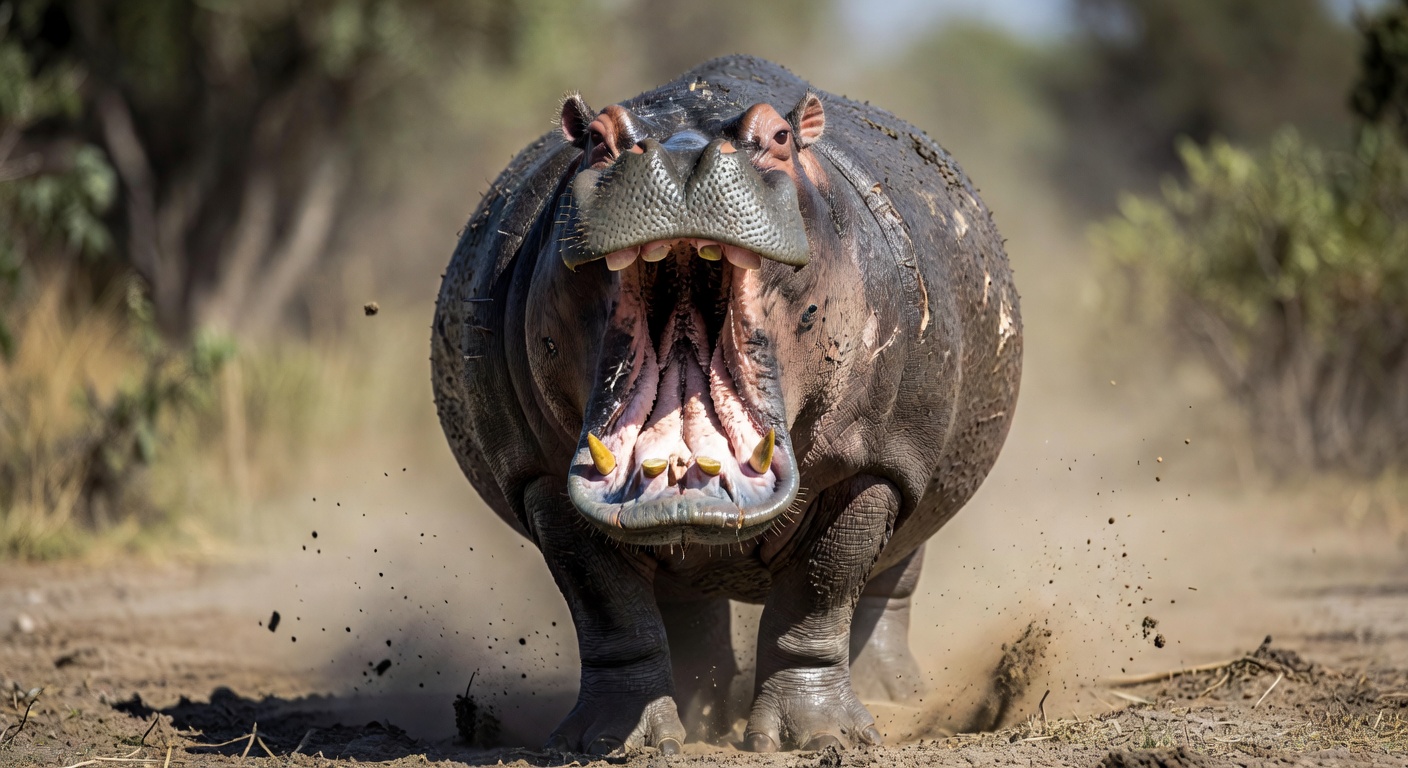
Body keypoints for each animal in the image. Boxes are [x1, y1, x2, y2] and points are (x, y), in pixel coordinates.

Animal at [431, 55, 1021, 754]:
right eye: (596, 139)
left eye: (781, 138)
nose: (680, 156)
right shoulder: (541, 477)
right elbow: (604, 602)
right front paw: (612, 742)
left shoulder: (875, 467)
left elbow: (822, 591)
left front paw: (816, 738)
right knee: (687, 603)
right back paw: (701, 715)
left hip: (916, 480)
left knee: (890, 582)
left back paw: (893, 700)